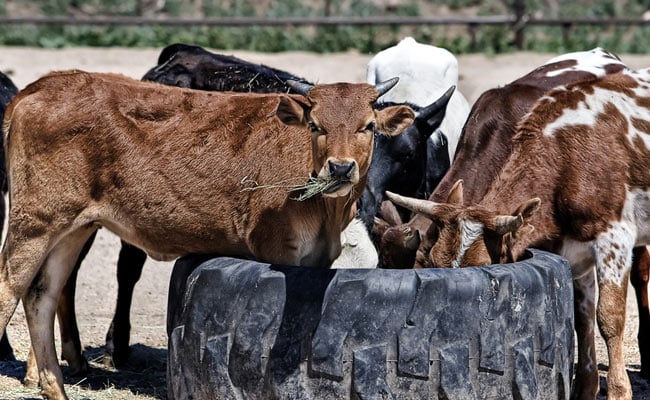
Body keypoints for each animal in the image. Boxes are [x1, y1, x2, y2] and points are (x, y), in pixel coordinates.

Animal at [386, 66, 650, 399]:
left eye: (484, 268)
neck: (566, 157)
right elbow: (583, 317)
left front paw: (617, 390)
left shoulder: (614, 240)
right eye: (433, 264)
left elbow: (609, 318)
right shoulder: (574, 252)